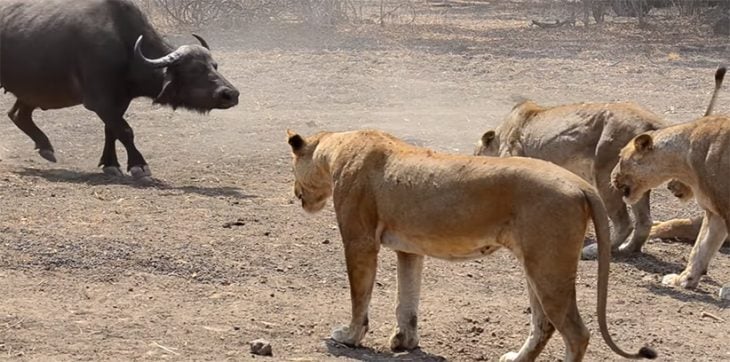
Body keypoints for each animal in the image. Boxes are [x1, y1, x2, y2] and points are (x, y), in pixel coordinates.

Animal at [0, 0, 239, 181]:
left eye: (214, 65)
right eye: (195, 69)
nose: (231, 94)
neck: (124, 47)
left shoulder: (119, 102)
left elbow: (111, 131)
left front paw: (110, 164)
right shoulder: (100, 102)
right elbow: (125, 131)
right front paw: (139, 166)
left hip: (32, 91)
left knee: (17, 115)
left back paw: (46, 147)